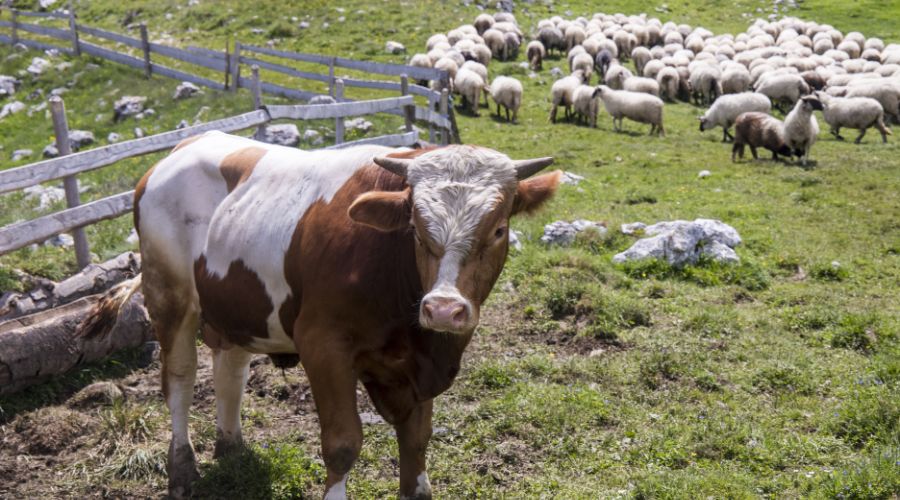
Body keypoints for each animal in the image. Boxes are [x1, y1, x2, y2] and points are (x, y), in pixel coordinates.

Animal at [86, 131, 564, 498]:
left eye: (498, 229)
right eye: (414, 227)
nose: (444, 308)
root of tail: (185, 145)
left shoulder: (415, 369)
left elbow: (416, 443)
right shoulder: (323, 346)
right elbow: (342, 444)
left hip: (236, 305)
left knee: (231, 370)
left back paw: (232, 448)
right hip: (168, 296)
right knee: (180, 382)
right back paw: (183, 469)